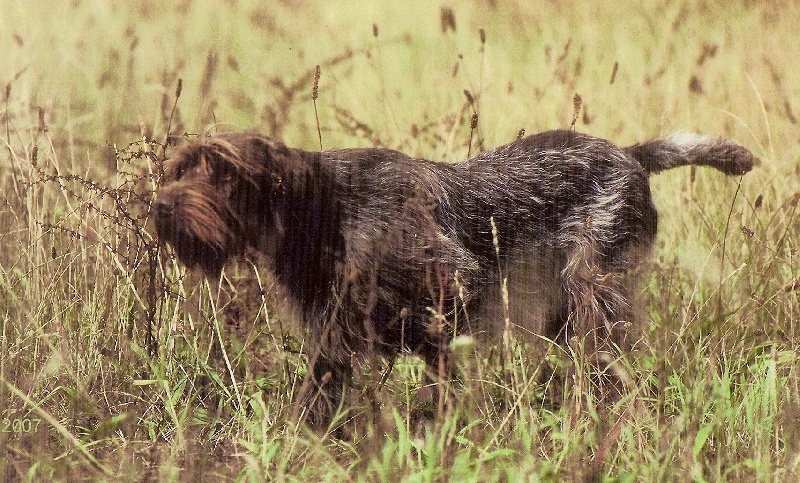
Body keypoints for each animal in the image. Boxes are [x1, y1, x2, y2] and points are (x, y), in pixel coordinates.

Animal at [153, 130, 752, 432]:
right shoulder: (338, 333)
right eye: (180, 168)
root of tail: (630, 154)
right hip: (567, 313)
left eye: (224, 173)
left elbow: (438, 381)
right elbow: (324, 389)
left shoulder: (451, 293)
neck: (321, 210)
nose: (159, 206)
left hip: (595, 299)